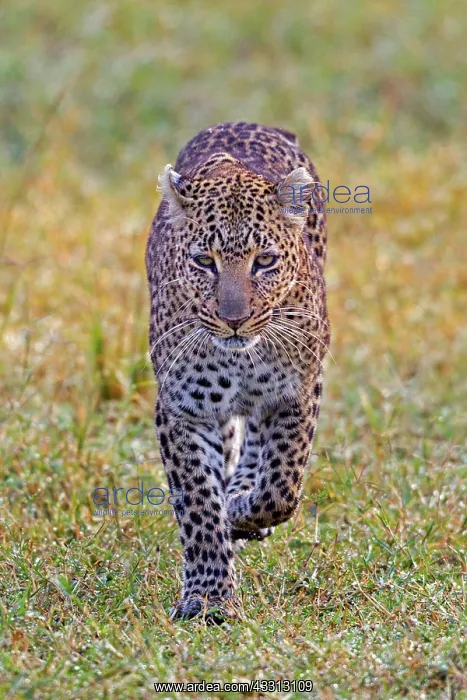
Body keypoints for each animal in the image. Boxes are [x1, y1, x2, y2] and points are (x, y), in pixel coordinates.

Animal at [145, 121, 330, 621]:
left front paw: (243, 513)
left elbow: (282, 486)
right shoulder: (184, 410)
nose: (234, 319)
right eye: (203, 261)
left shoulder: (297, 392)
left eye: (264, 261)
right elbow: (198, 503)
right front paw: (208, 596)